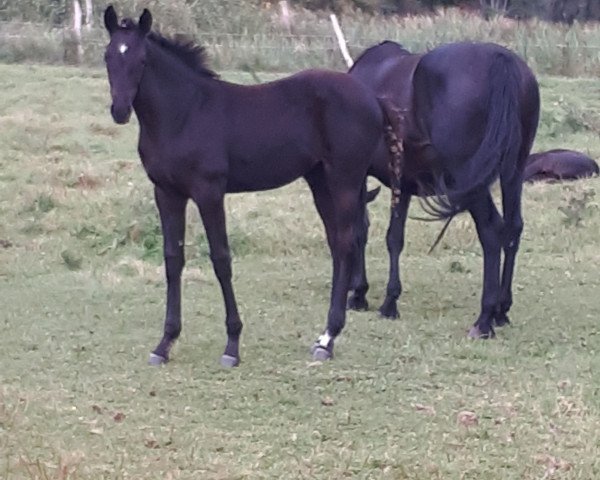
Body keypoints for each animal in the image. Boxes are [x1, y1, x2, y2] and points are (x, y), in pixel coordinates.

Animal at [102, 6, 394, 364]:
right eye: (107, 56)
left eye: (142, 60)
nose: (119, 111)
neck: (184, 113)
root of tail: (371, 97)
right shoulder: (167, 193)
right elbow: (173, 259)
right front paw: (165, 343)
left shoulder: (209, 192)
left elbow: (221, 259)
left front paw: (232, 345)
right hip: (320, 180)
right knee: (339, 244)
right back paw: (325, 336)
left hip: (345, 178)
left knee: (347, 241)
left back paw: (329, 337)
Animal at [346, 41, 540, 338]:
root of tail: (500, 59)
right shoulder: (404, 182)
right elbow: (394, 238)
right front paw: (390, 301)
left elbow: (360, 229)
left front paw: (360, 294)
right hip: (513, 171)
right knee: (513, 228)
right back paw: (501, 310)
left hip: (470, 178)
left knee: (491, 230)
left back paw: (484, 319)